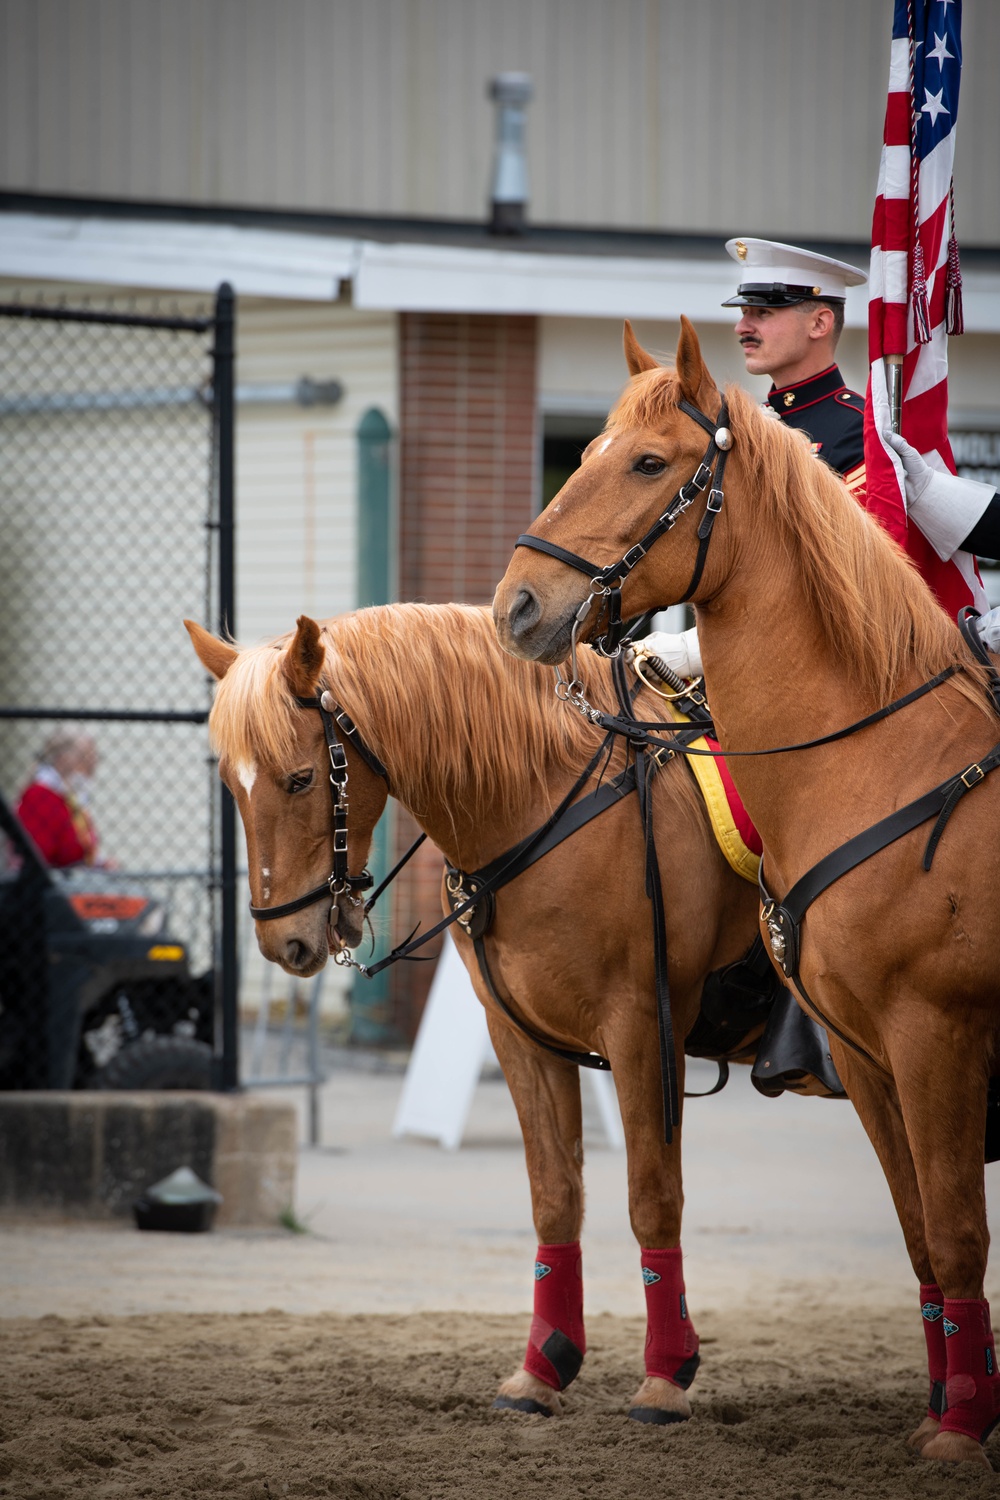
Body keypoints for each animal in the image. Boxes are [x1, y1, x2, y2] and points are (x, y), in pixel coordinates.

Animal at [187, 603, 761, 1422]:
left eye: (300, 779)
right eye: (230, 787)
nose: (282, 942)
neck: (547, 798)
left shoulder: (643, 1030)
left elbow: (653, 1196)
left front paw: (665, 1375)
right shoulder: (520, 1035)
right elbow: (555, 1196)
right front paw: (543, 1367)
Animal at [497, 316, 1000, 1464]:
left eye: (648, 463)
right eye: (585, 453)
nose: (518, 606)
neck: (881, 757)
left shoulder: (936, 1036)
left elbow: (955, 1229)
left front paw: (958, 1431)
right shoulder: (869, 1053)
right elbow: (921, 1231)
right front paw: (949, 1407)